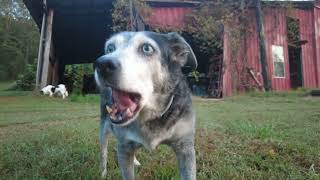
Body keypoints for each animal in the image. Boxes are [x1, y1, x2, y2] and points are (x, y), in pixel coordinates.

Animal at [94, 31, 196, 180]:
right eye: (110, 48)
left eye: (146, 48)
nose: (102, 64)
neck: (150, 114)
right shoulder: (124, 145)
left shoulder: (185, 147)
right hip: (104, 127)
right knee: (103, 151)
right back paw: (102, 172)